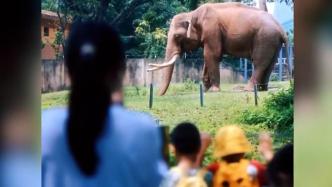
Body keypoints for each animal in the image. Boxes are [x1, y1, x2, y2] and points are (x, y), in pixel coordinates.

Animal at [147, 2, 290, 95]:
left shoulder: (212, 29)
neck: (192, 13)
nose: (158, 95)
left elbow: (212, 55)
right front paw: (205, 89)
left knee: (259, 62)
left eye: (177, 36)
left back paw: (249, 89)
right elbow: (208, 57)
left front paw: (214, 90)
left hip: (265, 38)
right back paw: (262, 89)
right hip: (273, 41)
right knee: (270, 64)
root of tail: (282, 29)